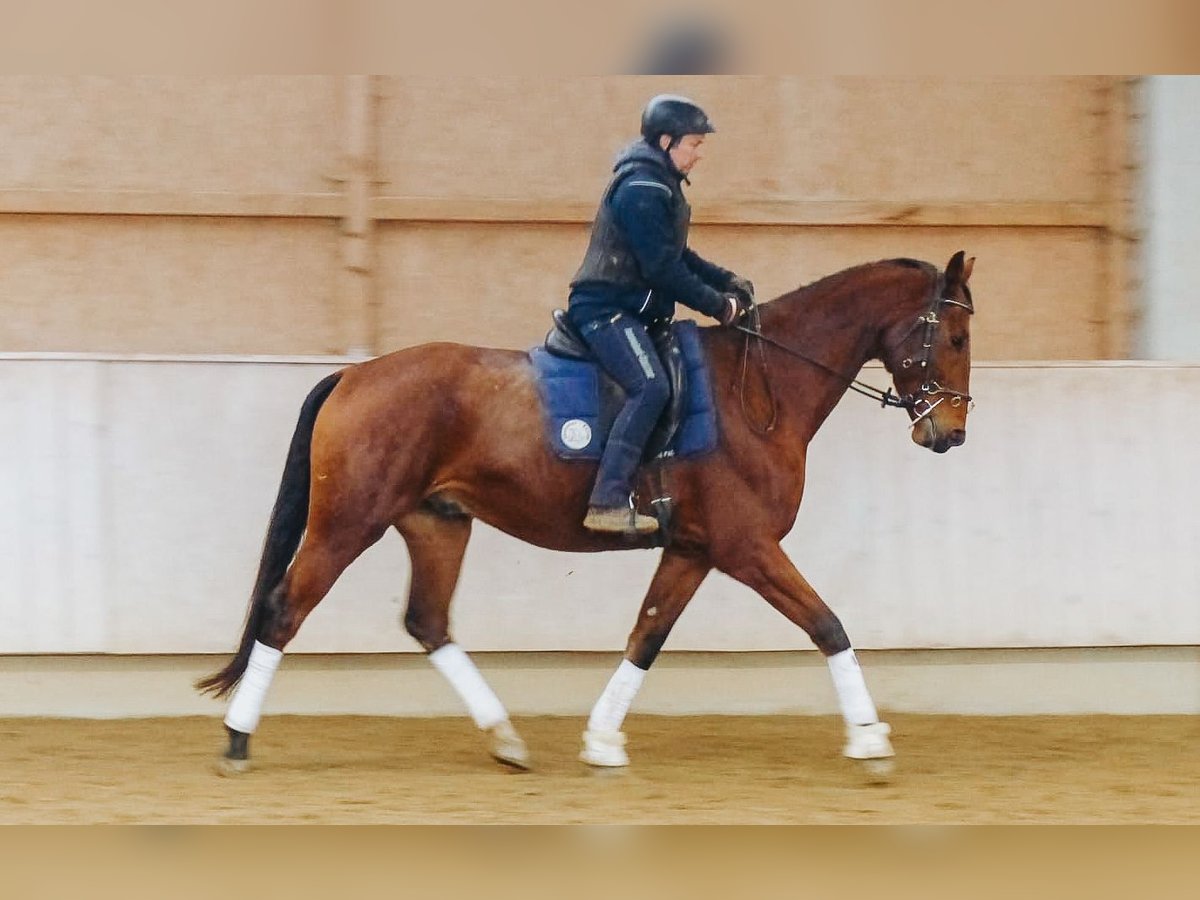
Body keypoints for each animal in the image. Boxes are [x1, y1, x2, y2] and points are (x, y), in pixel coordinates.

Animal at [196, 250, 974, 777]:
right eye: (956, 338)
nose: (951, 434)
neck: (760, 387)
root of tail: (355, 373)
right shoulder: (747, 547)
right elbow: (827, 624)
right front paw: (870, 739)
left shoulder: (693, 549)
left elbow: (646, 636)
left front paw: (601, 741)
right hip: (346, 523)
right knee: (285, 609)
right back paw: (237, 739)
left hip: (437, 522)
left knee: (428, 622)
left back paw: (505, 738)